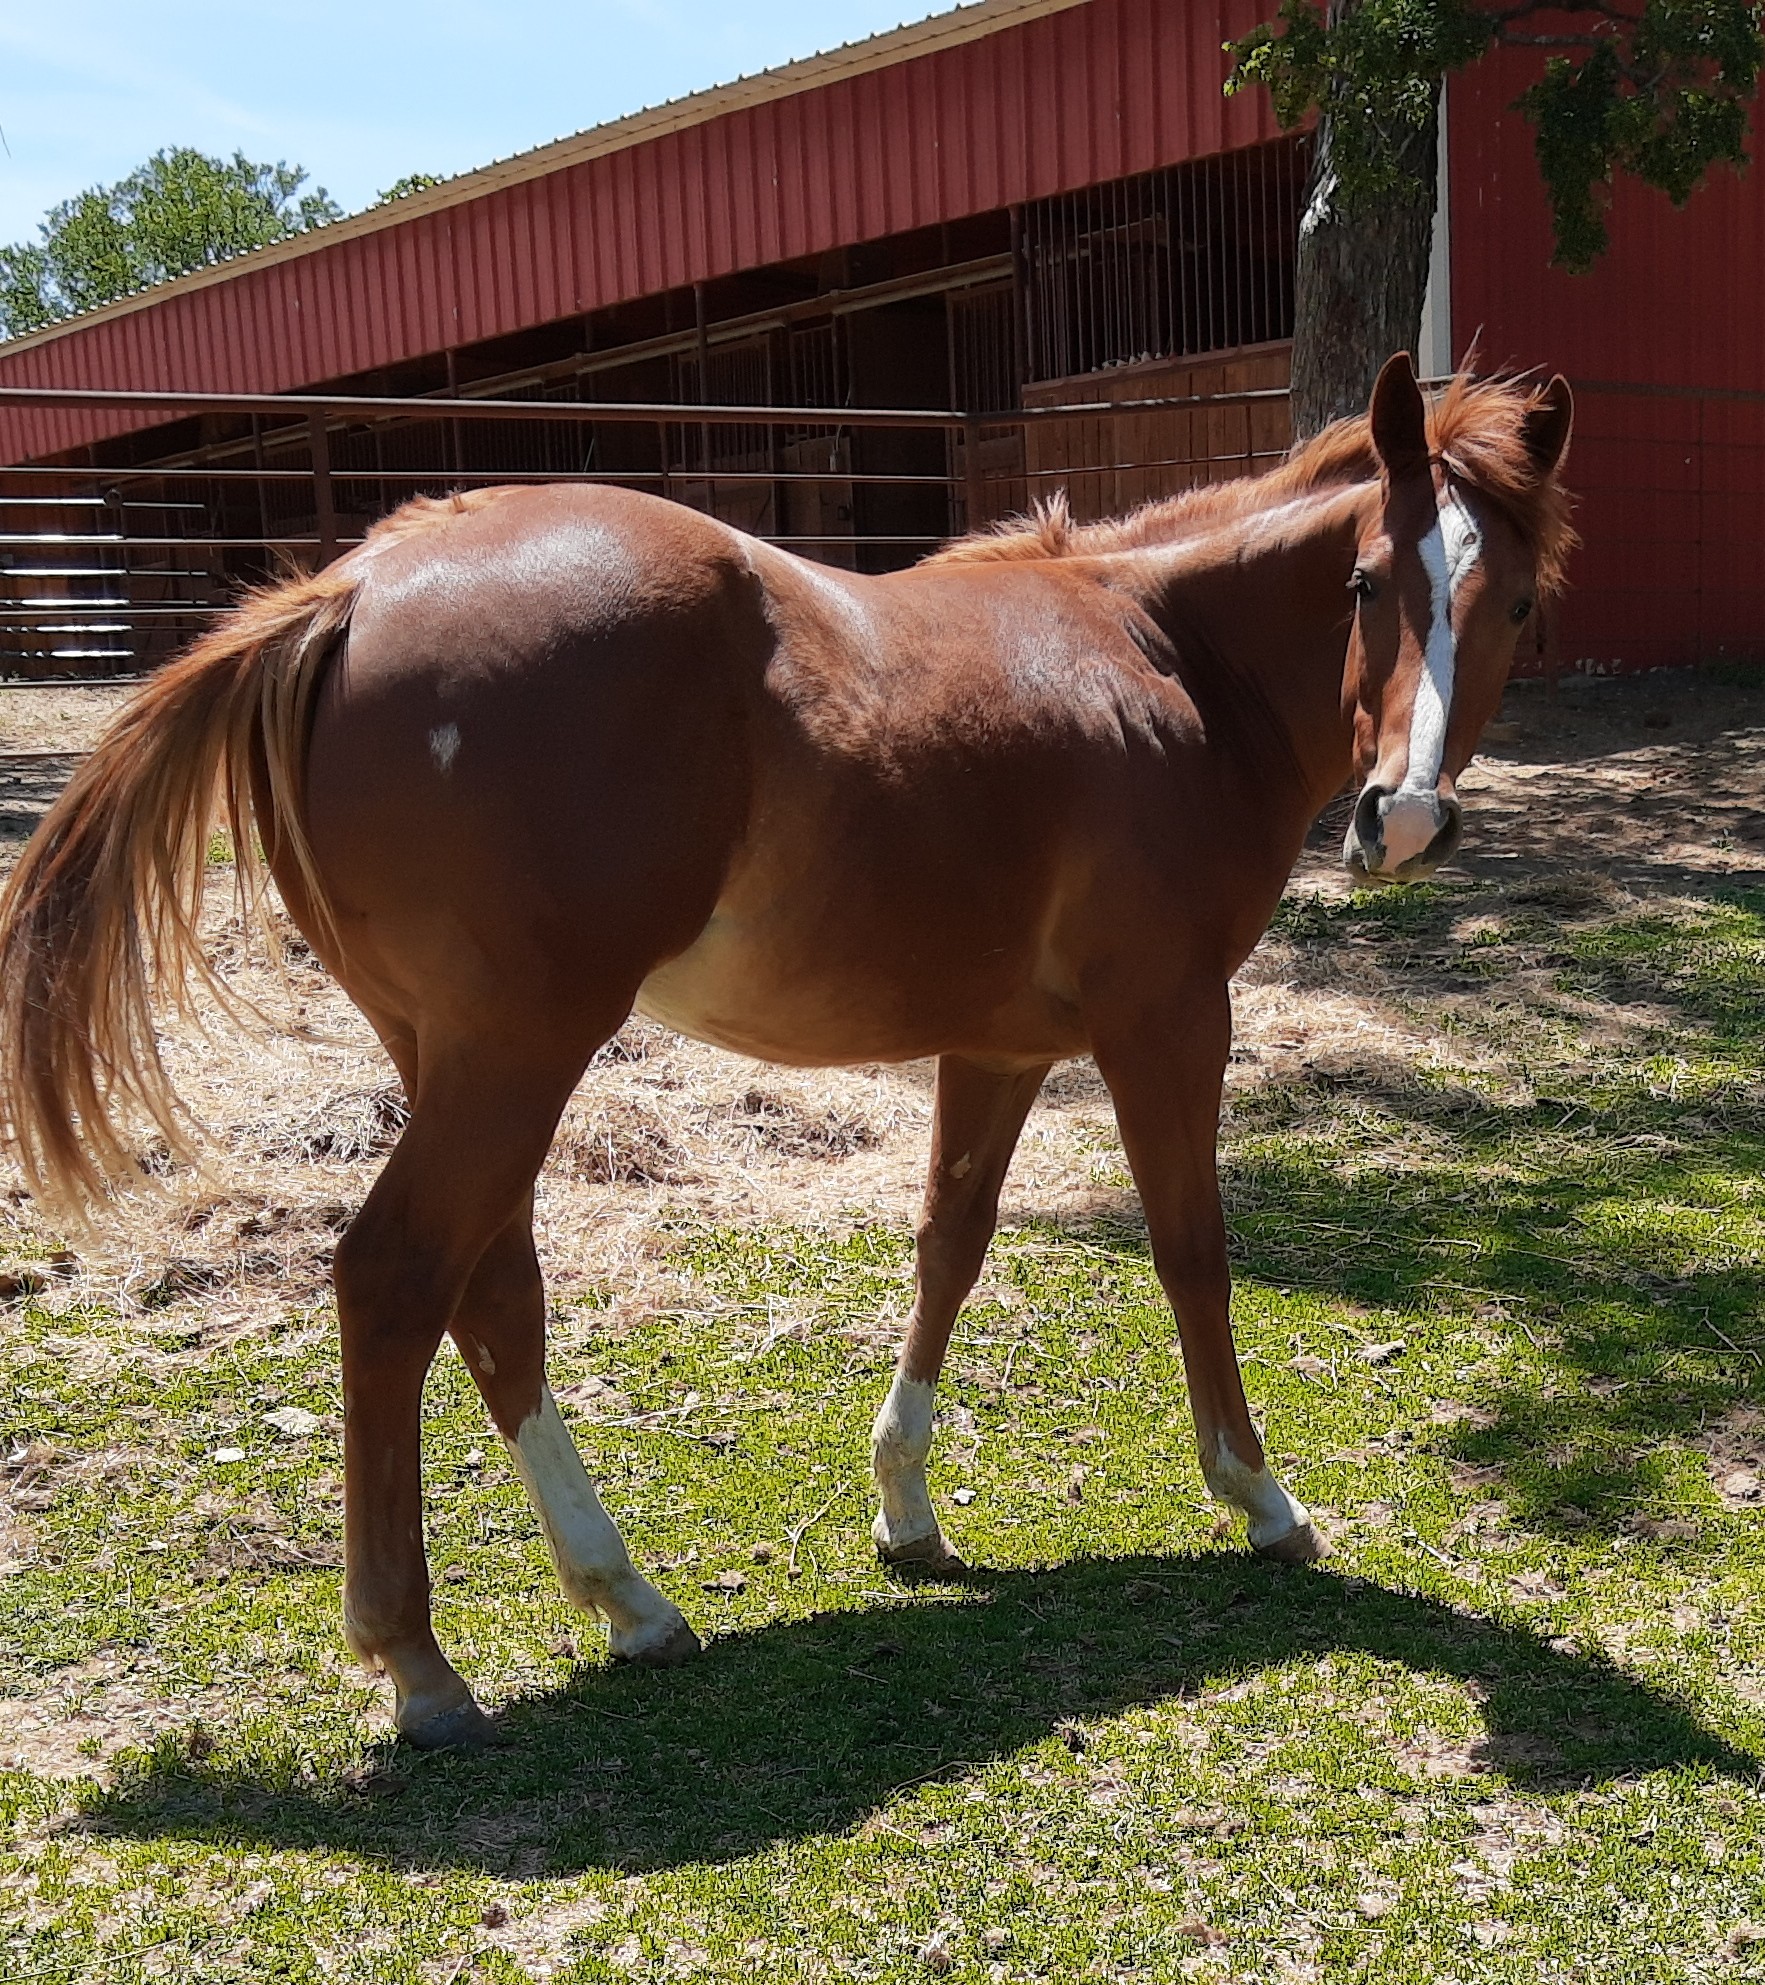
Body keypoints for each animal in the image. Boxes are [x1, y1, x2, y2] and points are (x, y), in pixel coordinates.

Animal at [0, 353, 1572, 1738]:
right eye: (1366, 582)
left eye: (1510, 608)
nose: (1402, 821)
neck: (1165, 659)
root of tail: (354, 585)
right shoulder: (1168, 1020)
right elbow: (1192, 1250)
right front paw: (1257, 1497)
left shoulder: (996, 1049)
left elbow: (950, 1242)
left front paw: (906, 1507)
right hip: (520, 1048)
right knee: (394, 1278)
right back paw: (422, 1663)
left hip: (445, 1051)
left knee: (490, 1292)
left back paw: (627, 1601)